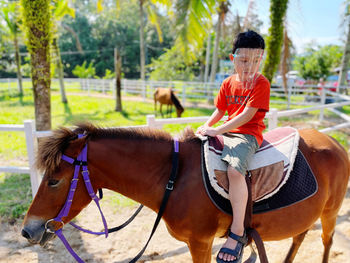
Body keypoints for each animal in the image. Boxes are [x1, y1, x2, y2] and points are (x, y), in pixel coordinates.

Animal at [22, 124, 350, 263]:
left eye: (54, 181)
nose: (27, 230)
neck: (174, 178)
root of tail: (334, 142)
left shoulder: (200, 243)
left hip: (330, 212)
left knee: (326, 241)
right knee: (299, 237)